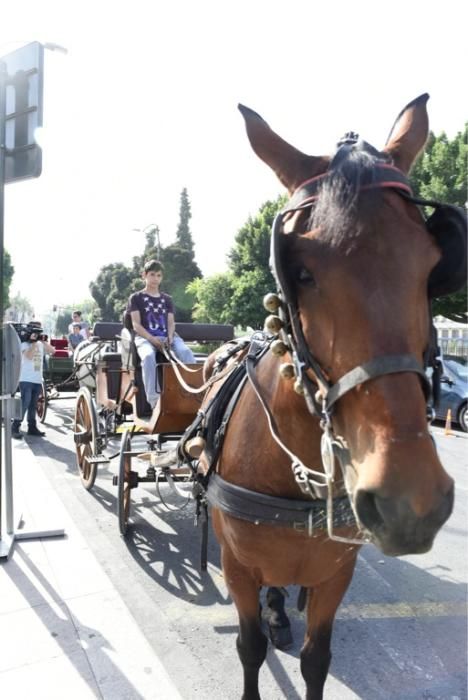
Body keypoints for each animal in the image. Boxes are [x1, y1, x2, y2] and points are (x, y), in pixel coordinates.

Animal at [196, 94, 458, 700]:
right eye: (301, 271)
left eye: (433, 268)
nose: (409, 501)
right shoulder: (237, 567)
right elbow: (249, 647)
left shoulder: (338, 572)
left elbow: (318, 659)